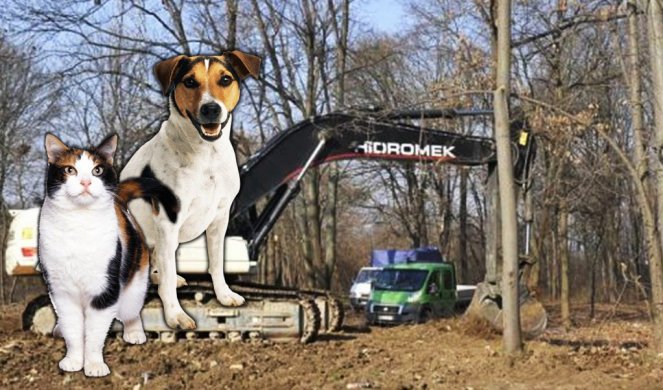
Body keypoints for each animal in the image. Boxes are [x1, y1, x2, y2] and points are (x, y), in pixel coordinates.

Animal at [38, 133, 179, 376]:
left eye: (97, 170)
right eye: (70, 170)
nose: (86, 182)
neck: (78, 224)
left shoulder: (106, 290)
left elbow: (95, 334)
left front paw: (94, 365)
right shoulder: (61, 292)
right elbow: (73, 330)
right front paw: (73, 361)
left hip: (136, 282)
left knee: (132, 310)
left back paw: (134, 333)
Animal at [120, 50, 260, 328]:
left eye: (225, 79)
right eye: (190, 82)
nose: (211, 109)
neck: (205, 154)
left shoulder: (220, 218)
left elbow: (216, 263)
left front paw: (224, 295)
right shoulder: (168, 221)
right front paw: (175, 315)